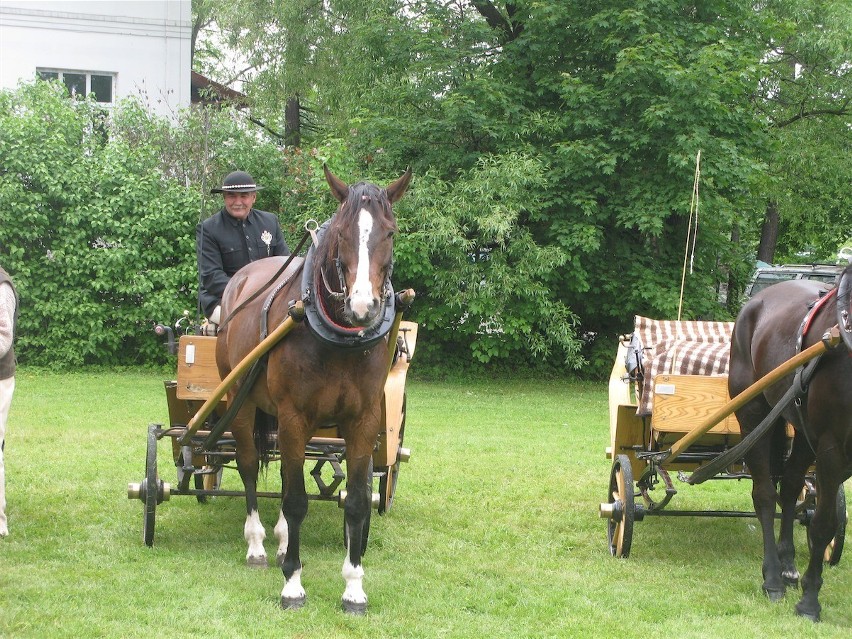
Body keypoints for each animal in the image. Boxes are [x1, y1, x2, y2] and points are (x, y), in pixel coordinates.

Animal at [215, 166, 412, 616]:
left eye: (390, 232)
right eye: (339, 232)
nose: (363, 307)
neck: (338, 338)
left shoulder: (364, 420)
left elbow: (355, 501)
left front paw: (354, 588)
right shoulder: (293, 416)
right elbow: (296, 500)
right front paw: (293, 584)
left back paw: (283, 537)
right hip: (240, 402)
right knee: (249, 465)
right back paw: (258, 544)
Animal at [724, 262, 852, 624]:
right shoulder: (833, 448)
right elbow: (823, 523)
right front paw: (810, 602)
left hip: (803, 429)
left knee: (792, 486)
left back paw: (788, 565)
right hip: (754, 414)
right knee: (766, 495)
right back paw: (772, 578)